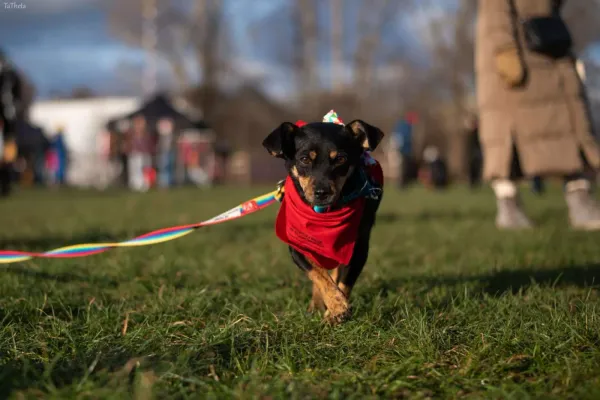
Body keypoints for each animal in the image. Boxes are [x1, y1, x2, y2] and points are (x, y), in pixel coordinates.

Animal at [262, 114, 384, 324]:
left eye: (341, 158)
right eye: (304, 159)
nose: (322, 192)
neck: (324, 214)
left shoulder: (358, 248)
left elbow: (343, 282)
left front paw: (336, 312)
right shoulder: (297, 246)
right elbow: (318, 275)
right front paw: (336, 306)